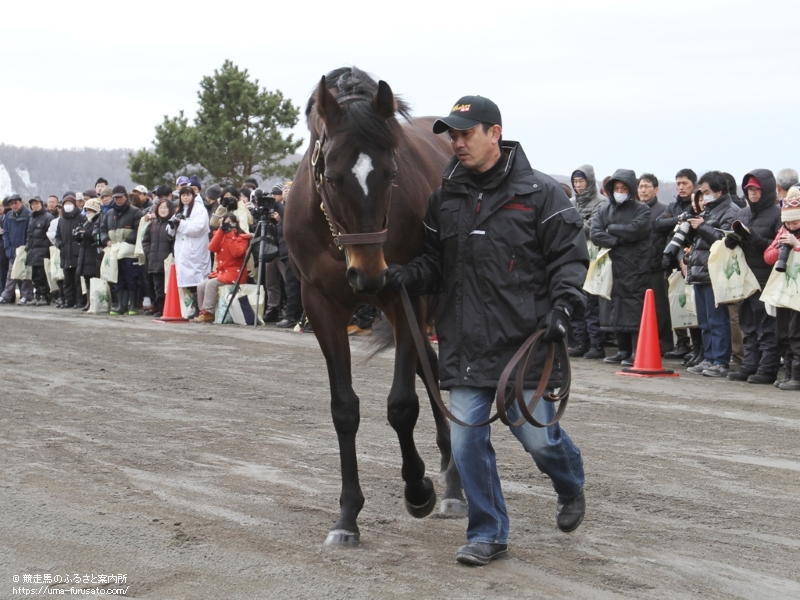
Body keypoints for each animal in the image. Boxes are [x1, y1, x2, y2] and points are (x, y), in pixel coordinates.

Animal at [282, 68, 466, 548]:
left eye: (390, 173)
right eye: (332, 177)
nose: (367, 275)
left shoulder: (404, 296)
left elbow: (402, 405)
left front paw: (418, 487)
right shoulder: (321, 304)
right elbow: (344, 409)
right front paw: (347, 516)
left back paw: (454, 485)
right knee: (430, 366)